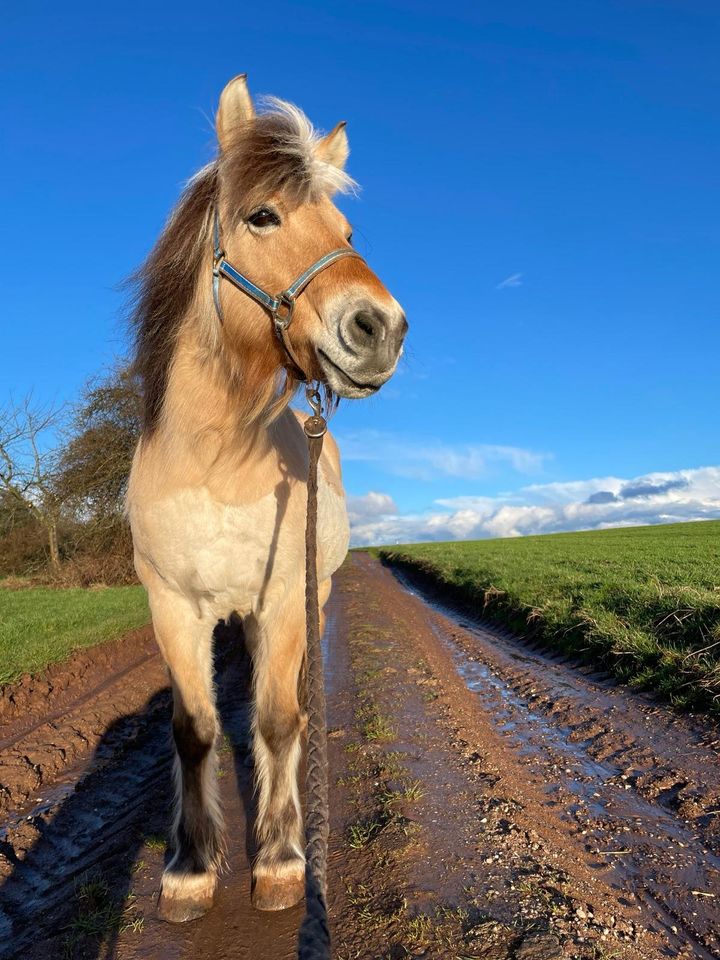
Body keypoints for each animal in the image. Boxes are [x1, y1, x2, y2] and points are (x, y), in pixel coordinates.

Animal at [126, 77, 408, 924]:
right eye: (262, 216)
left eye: (345, 229)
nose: (381, 329)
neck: (214, 462)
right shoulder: (172, 606)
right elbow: (193, 729)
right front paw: (190, 869)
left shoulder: (284, 596)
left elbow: (281, 719)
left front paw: (281, 860)